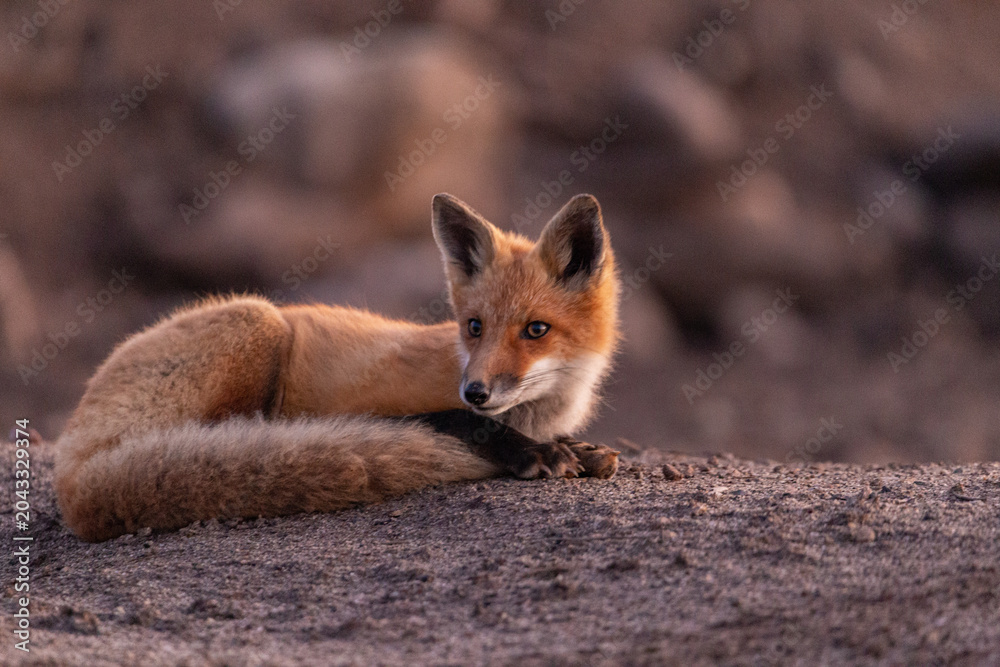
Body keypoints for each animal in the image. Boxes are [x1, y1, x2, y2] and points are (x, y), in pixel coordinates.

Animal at [54, 193, 622, 542]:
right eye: (475, 326)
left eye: (536, 330)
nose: (476, 390)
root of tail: (72, 471)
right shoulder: (376, 401)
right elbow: (453, 420)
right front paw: (533, 452)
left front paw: (578, 448)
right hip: (258, 321)